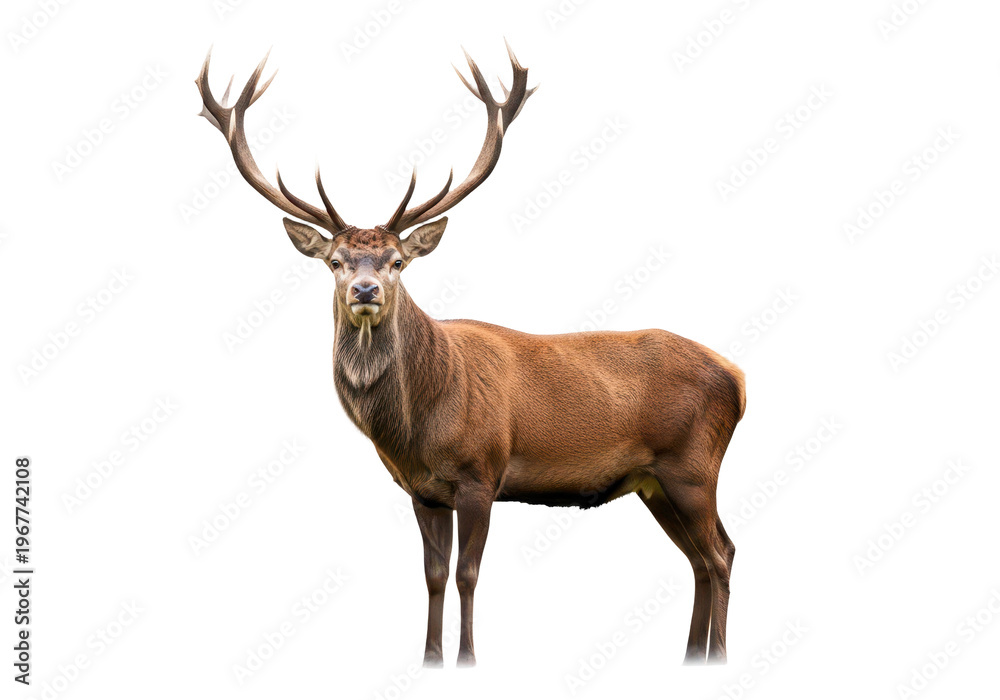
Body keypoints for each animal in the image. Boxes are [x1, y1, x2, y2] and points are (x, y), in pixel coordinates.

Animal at [196, 42, 745, 667]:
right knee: (700, 559)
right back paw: (693, 656)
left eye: (397, 261)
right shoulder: (422, 490)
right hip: (655, 481)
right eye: (335, 261)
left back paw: (717, 654)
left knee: (722, 554)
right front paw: (430, 657)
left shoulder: (483, 472)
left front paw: (467, 659)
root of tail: (740, 378)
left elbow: (468, 574)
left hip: (693, 466)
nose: (365, 290)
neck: (417, 429)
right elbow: (433, 576)